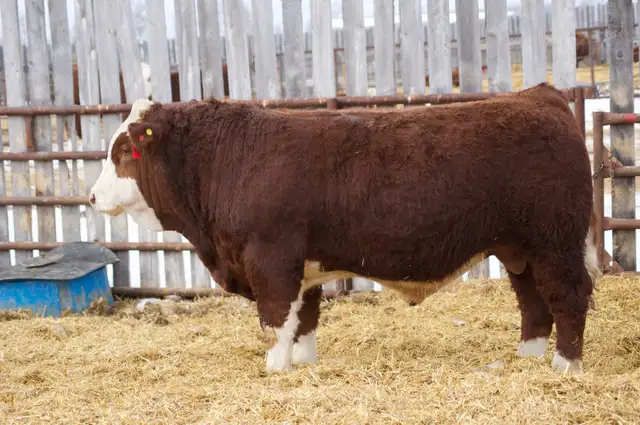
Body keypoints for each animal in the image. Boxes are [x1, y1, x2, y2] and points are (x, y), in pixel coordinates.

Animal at [88, 82, 601, 375]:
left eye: (123, 151)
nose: (91, 197)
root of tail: (539, 96)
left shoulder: (271, 259)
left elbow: (275, 318)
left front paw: (275, 367)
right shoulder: (303, 266)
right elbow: (304, 317)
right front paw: (302, 362)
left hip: (555, 242)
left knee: (569, 296)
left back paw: (565, 366)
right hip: (519, 250)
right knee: (534, 302)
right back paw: (527, 357)